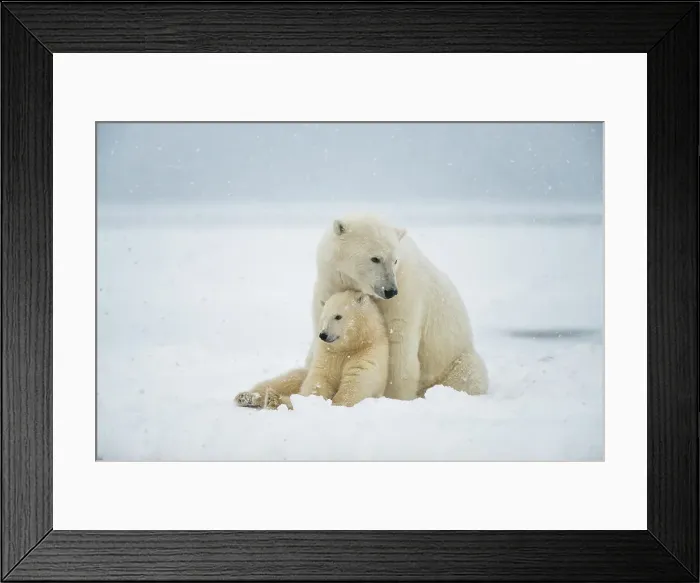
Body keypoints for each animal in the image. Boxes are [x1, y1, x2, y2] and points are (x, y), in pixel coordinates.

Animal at [235, 290, 388, 409]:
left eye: (338, 316)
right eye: (324, 317)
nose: (323, 335)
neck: (350, 347)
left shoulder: (367, 355)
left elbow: (354, 385)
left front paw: (336, 403)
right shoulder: (328, 355)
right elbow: (319, 380)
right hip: (301, 374)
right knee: (284, 381)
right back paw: (247, 396)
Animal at [306, 214, 488, 400]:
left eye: (394, 260)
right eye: (375, 258)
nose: (390, 290)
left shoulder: (404, 293)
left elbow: (399, 341)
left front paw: (395, 397)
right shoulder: (332, 283)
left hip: (455, 359)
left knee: (468, 376)